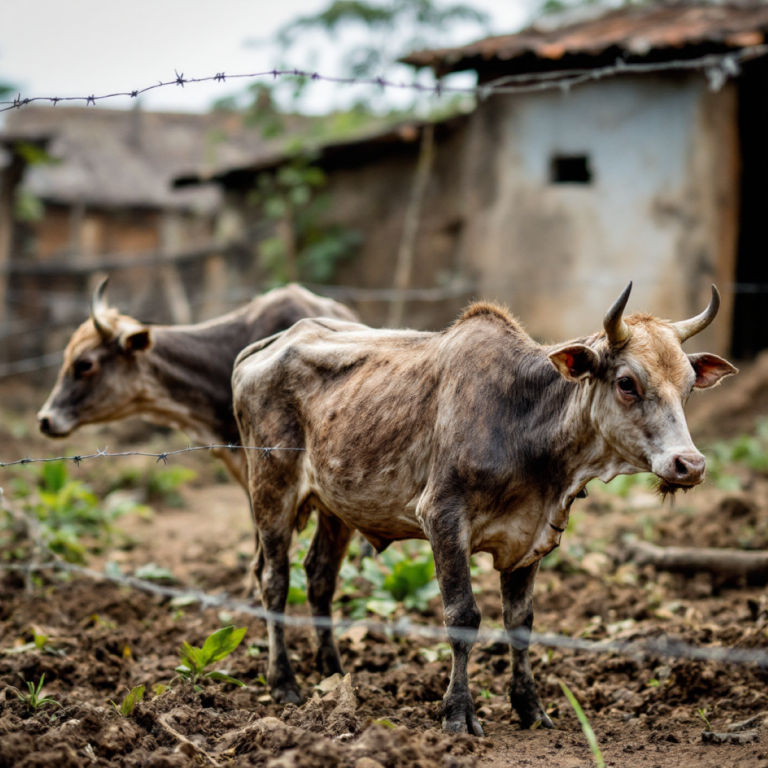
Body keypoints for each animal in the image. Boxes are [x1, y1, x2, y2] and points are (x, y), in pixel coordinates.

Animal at [232, 280, 736, 732]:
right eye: (627, 383)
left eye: (688, 387)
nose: (689, 464)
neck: (524, 421)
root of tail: (266, 346)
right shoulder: (442, 517)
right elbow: (463, 617)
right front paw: (458, 713)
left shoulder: (532, 537)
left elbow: (521, 622)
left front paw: (530, 708)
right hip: (271, 491)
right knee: (274, 580)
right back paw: (284, 683)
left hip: (336, 508)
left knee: (319, 578)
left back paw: (335, 675)